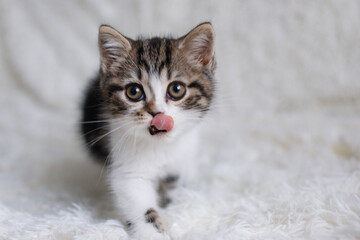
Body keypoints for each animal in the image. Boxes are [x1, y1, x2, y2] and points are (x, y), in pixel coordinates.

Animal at [81, 22, 217, 238]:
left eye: (176, 89)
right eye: (134, 92)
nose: (157, 113)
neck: (160, 147)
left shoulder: (180, 160)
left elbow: (175, 185)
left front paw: (175, 207)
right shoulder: (125, 167)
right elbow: (138, 201)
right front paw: (153, 232)